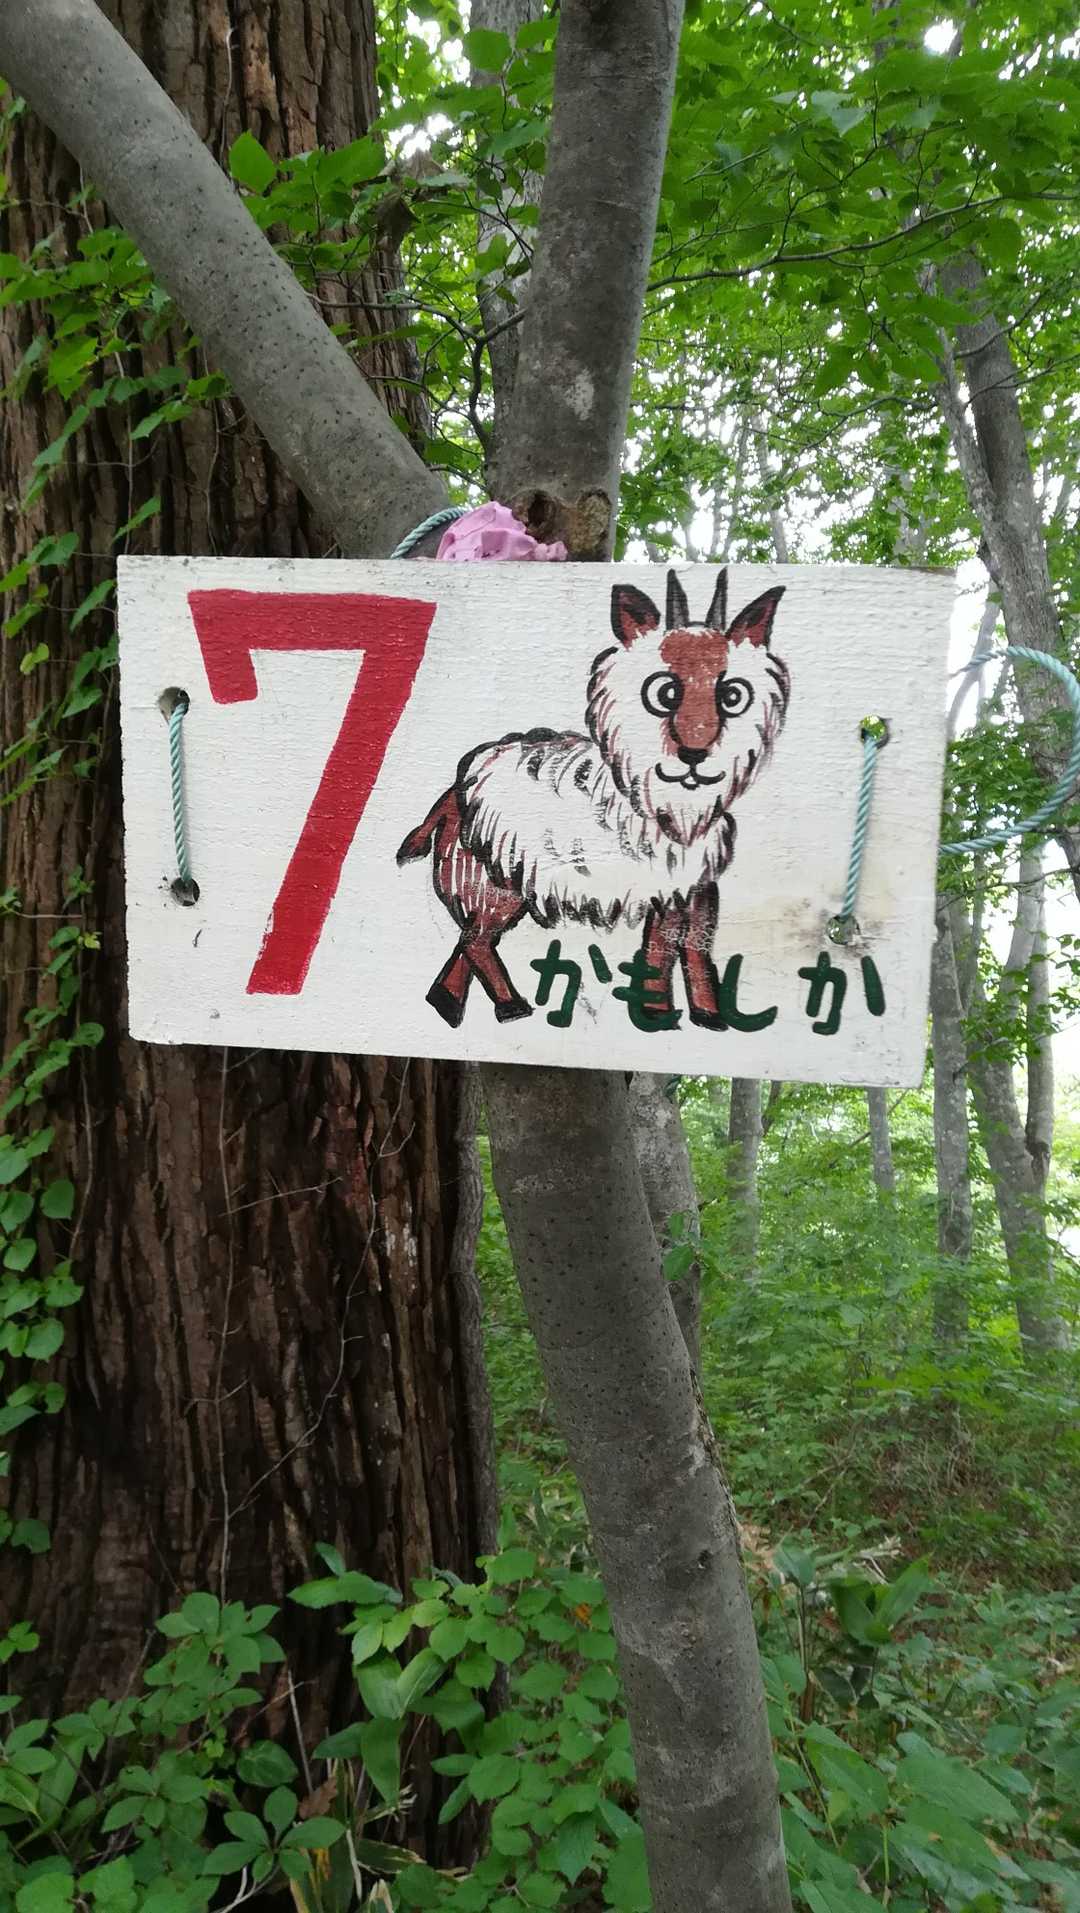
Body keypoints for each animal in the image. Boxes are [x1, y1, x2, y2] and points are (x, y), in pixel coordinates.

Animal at [397, 567, 790, 1029]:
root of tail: (455, 788)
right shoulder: (666, 883)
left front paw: (696, 1015)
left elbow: (684, 946)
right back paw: (510, 1006)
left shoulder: (689, 887)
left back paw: (448, 1003)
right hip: (494, 879)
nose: (695, 753)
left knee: (468, 938)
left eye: (733, 696)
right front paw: (662, 1015)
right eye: (664, 693)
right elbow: (667, 950)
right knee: (477, 938)